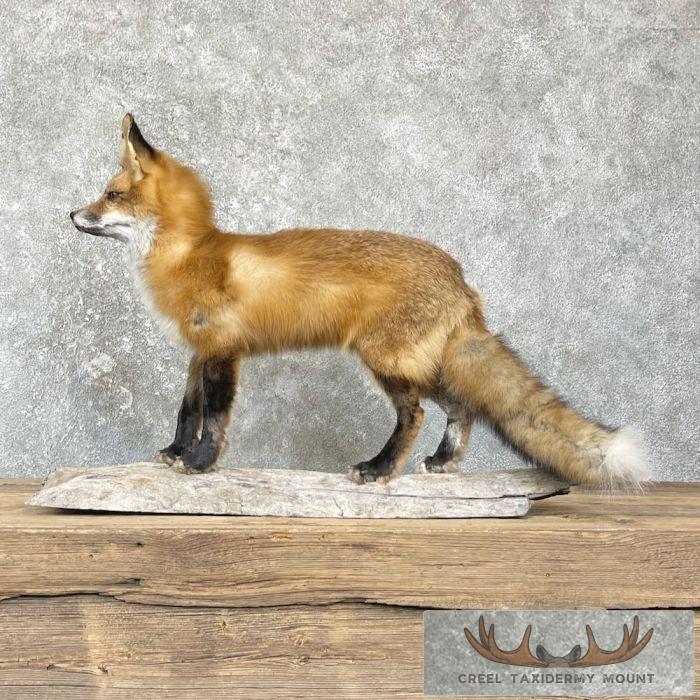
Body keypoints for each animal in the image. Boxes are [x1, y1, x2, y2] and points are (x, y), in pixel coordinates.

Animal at [69, 114, 650, 488]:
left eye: (111, 195)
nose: (71, 215)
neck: (190, 253)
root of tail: (460, 277)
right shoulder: (200, 351)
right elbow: (185, 409)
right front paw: (173, 453)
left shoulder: (221, 352)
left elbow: (212, 418)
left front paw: (199, 464)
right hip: (419, 363)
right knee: (462, 408)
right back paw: (442, 465)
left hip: (389, 362)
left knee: (416, 415)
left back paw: (379, 469)